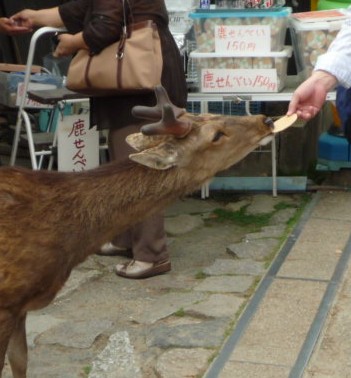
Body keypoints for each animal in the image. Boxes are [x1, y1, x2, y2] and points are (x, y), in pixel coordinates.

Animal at [0, 86, 280, 378]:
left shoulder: (19, 307)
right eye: (215, 135)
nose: (266, 120)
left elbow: (21, 363)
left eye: (210, 115)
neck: (69, 241)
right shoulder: (6, 303)